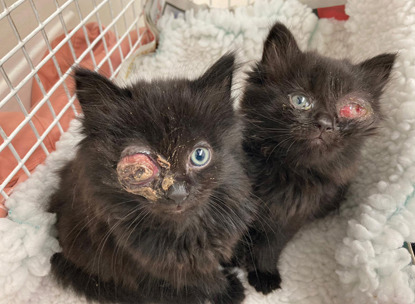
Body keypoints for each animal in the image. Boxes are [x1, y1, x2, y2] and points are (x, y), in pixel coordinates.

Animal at [48, 54, 256, 304]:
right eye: (139, 170)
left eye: (199, 155)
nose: (177, 192)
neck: (186, 229)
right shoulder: (163, 265)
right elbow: (205, 279)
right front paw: (229, 291)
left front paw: (236, 258)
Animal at [237, 22, 396, 294]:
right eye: (300, 101)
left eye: (350, 109)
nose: (325, 123)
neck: (286, 170)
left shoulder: (292, 216)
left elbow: (271, 244)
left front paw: (263, 273)